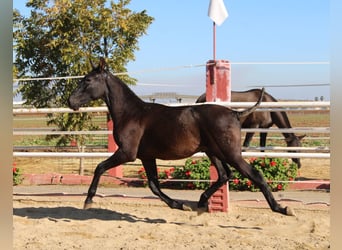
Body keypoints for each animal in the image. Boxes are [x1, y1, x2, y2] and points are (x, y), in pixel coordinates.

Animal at [67, 57, 294, 216]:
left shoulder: (127, 153)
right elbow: (154, 186)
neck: (131, 113)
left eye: (88, 80)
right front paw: (179, 205)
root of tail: (235, 114)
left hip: (230, 153)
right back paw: (201, 203)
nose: (71, 101)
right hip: (213, 152)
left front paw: (88, 200)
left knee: (254, 174)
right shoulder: (146, 156)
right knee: (224, 175)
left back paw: (282, 208)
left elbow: (99, 167)